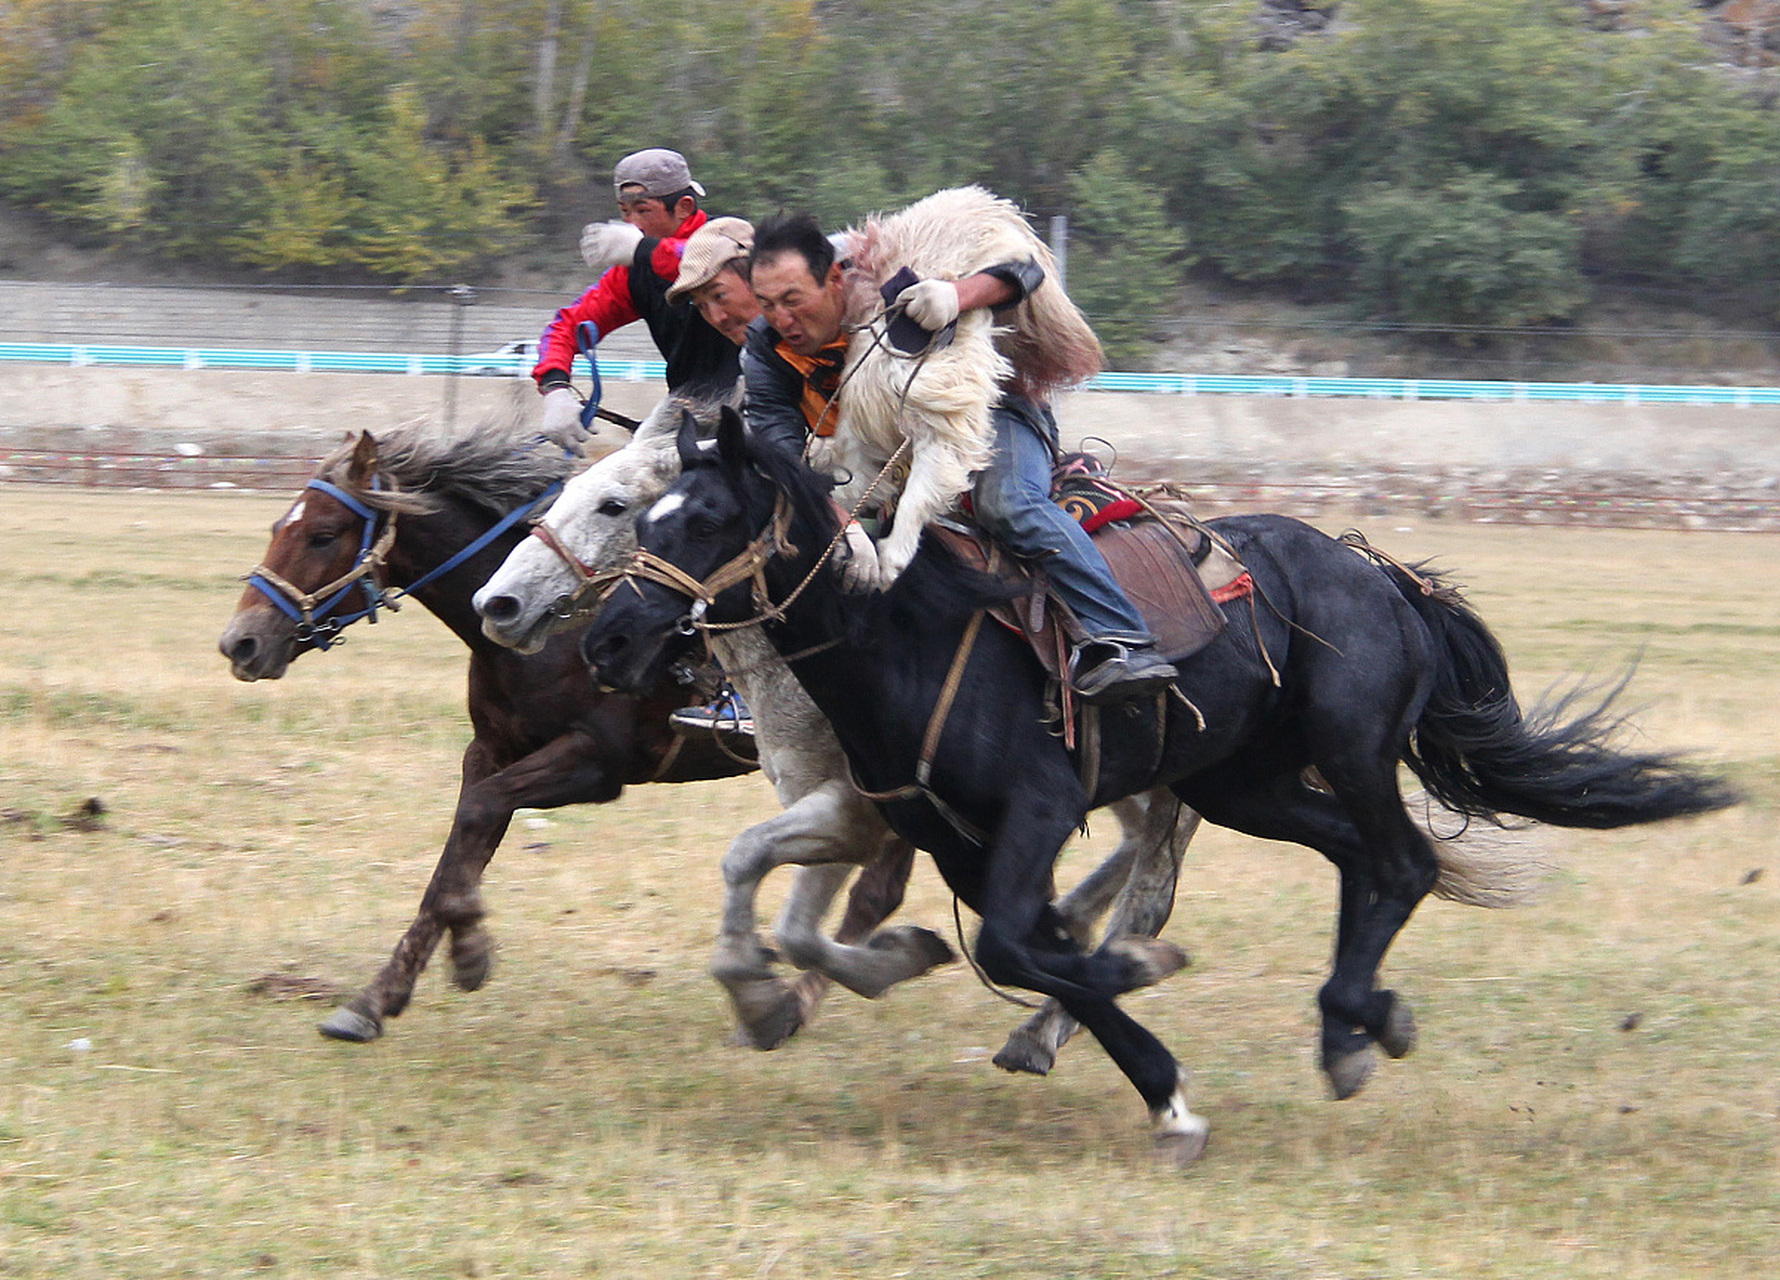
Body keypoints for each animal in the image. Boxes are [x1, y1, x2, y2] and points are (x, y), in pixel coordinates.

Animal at [217, 414, 918, 1046]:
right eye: (279, 526)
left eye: (323, 535)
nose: (241, 643)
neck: (555, 634)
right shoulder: (493, 749)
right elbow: (461, 844)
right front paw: (379, 997)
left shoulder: (596, 761)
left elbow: (478, 819)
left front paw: (469, 944)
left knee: (873, 890)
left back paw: (796, 1002)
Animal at [580, 407, 1737, 1160]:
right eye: (647, 516)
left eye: (702, 519)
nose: (608, 638)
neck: (912, 636)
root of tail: (1379, 574)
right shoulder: (956, 837)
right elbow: (1033, 948)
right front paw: (1144, 1053)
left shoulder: (1038, 810)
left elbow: (1018, 947)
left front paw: (1161, 1068)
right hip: (1245, 782)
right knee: (1356, 857)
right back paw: (1355, 1023)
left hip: (1350, 746)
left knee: (1401, 861)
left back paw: (1349, 1023)